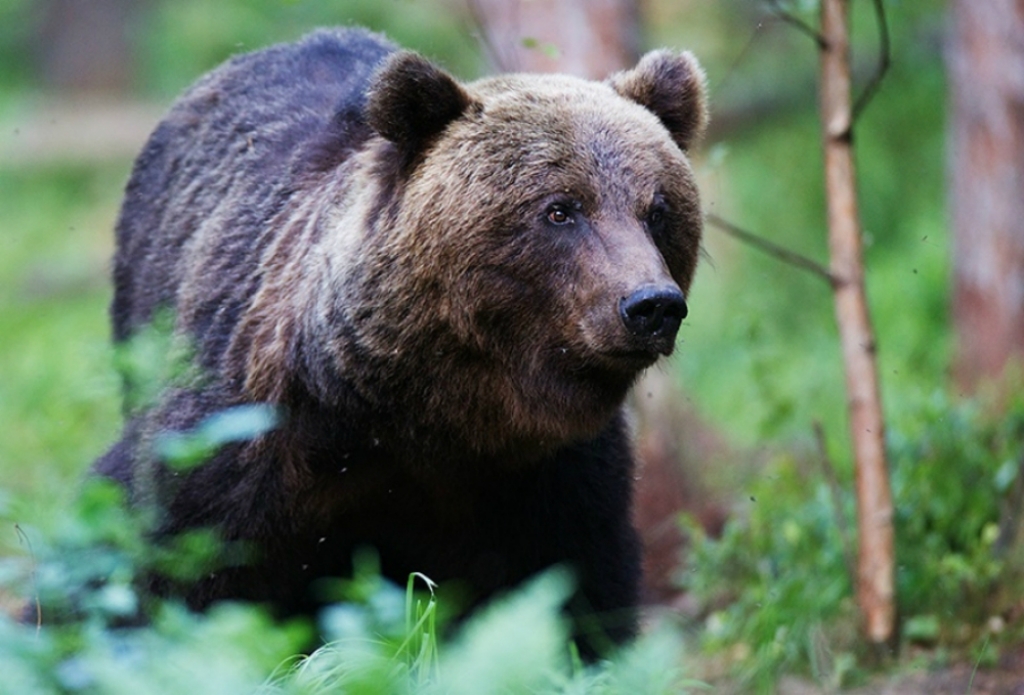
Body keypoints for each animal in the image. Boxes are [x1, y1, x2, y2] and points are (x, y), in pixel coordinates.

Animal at [96, 28, 704, 659]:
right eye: (561, 208)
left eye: (658, 210)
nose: (651, 305)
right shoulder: (246, 439)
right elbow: (180, 565)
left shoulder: (547, 479)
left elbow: (575, 588)